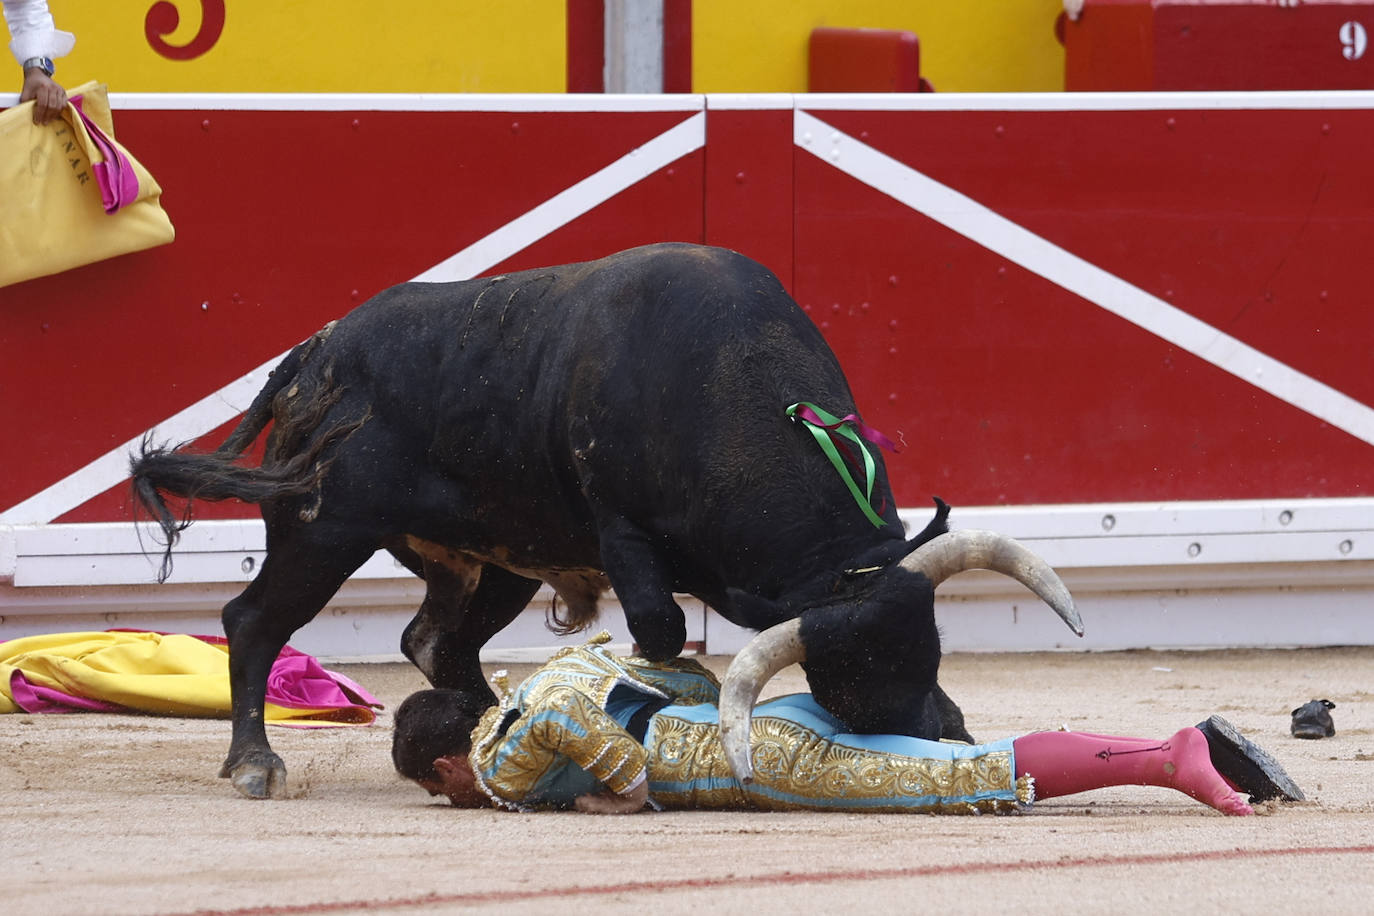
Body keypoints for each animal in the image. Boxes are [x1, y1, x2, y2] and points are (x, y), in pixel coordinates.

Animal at [133, 243, 1022, 796]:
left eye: (931, 650)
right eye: (857, 669)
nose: (934, 732)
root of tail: (315, 352)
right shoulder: (622, 535)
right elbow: (662, 630)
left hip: (491, 559)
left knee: (434, 639)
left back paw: (471, 716)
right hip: (322, 529)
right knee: (252, 621)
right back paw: (255, 763)